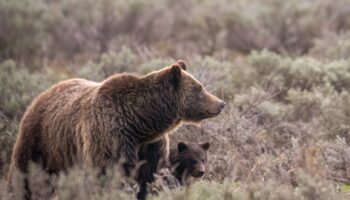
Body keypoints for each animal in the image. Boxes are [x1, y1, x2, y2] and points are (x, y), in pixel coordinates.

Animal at [8, 60, 227, 199]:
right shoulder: (111, 138)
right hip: (41, 141)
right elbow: (111, 174)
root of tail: (44, 93)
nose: (221, 103)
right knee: (27, 176)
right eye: (199, 89)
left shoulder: (151, 146)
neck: (140, 123)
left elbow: (150, 176)